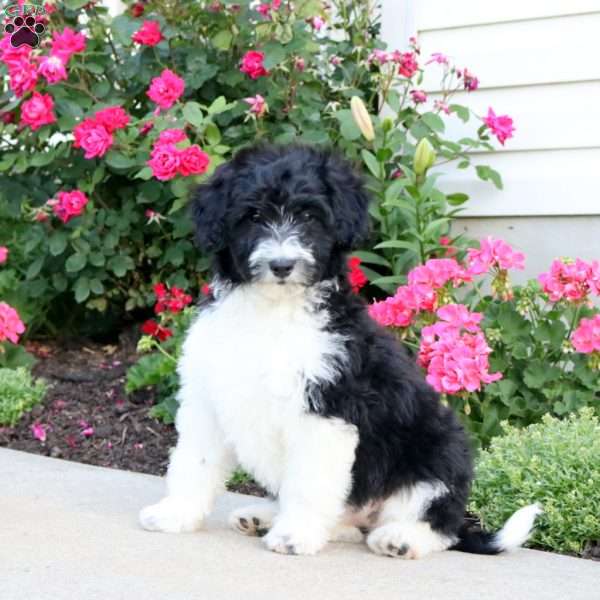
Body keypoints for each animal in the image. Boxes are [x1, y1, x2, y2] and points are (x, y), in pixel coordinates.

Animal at [139, 143, 540, 556]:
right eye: (253, 216)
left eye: (309, 216)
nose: (282, 264)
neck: (273, 312)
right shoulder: (208, 398)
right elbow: (195, 462)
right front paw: (175, 513)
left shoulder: (326, 408)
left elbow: (309, 481)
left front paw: (294, 535)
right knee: (343, 520)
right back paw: (264, 517)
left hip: (438, 450)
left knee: (436, 520)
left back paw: (401, 538)